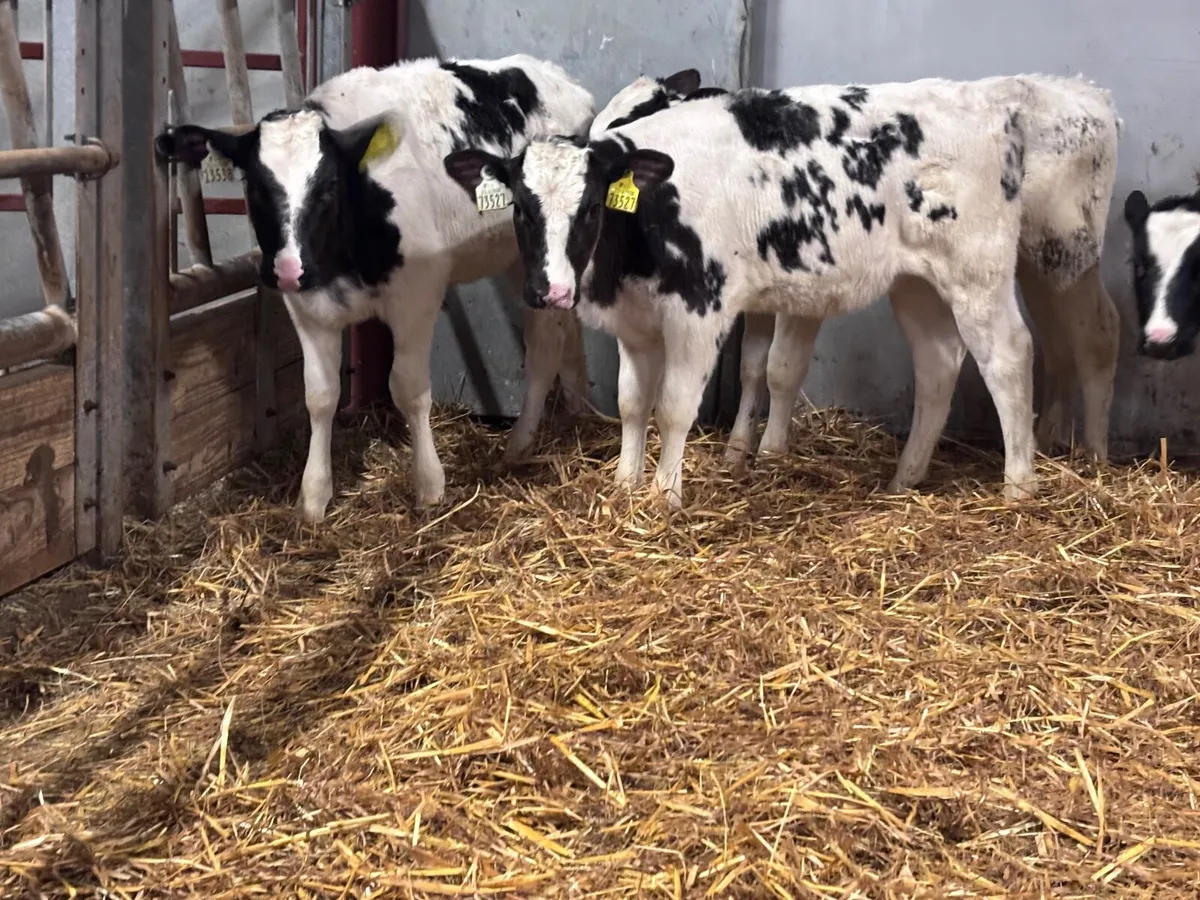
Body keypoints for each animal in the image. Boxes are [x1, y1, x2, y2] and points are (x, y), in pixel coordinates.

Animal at [153, 55, 595, 524]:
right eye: (254, 186)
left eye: (328, 186)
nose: (289, 268)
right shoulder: (306, 305)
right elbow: (320, 395)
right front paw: (313, 497)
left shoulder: (417, 293)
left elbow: (408, 388)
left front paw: (429, 487)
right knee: (567, 331)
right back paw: (578, 410)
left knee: (544, 347)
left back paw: (520, 443)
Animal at [444, 78, 1039, 508]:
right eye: (521, 208)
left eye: (591, 206)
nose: (552, 289)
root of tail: (985, 103)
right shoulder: (635, 324)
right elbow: (633, 403)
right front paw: (624, 484)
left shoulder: (699, 312)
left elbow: (674, 408)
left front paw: (664, 498)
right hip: (916, 282)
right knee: (938, 363)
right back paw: (905, 479)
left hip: (978, 272)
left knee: (1009, 357)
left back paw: (1017, 488)